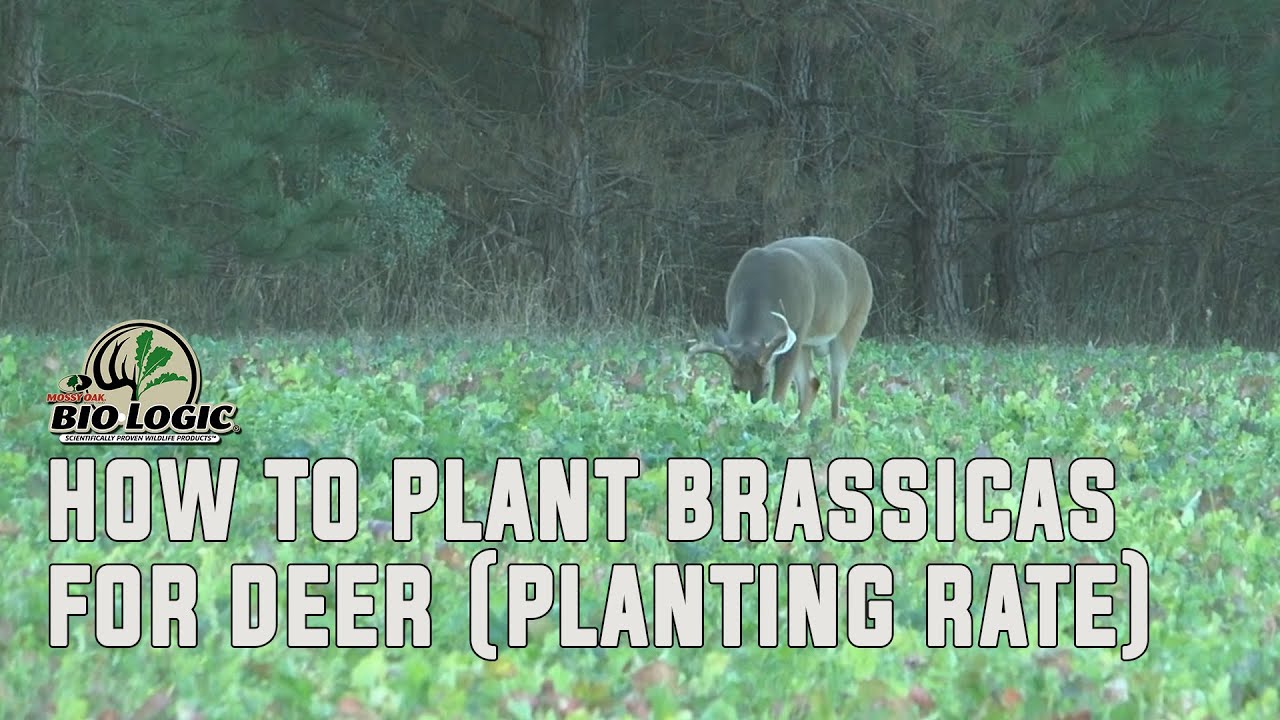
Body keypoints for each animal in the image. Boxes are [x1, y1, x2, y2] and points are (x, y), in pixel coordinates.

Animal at [687, 235, 873, 422]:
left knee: (836, 381)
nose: (753, 411)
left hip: (853, 323)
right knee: (812, 381)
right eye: (735, 385)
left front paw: (772, 421)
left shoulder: (798, 328)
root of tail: (861, 262)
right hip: (807, 342)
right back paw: (798, 424)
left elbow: (779, 396)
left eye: (766, 383)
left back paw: (833, 424)